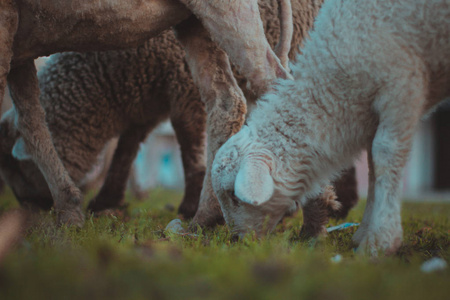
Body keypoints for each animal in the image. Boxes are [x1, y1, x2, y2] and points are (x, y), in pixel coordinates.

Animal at [0, 0, 358, 225]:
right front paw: (93, 204)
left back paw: (316, 214)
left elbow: (187, 144)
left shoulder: (178, 86)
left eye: (15, 169)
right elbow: (38, 125)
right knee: (233, 102)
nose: (32, 210)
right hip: (197, 20)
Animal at [211, 0, 450, 255]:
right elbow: (373, 167)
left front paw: (381, 240)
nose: (237, 241)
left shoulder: (402, 85)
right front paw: (364, 233)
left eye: (234, 197)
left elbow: (386, 154)